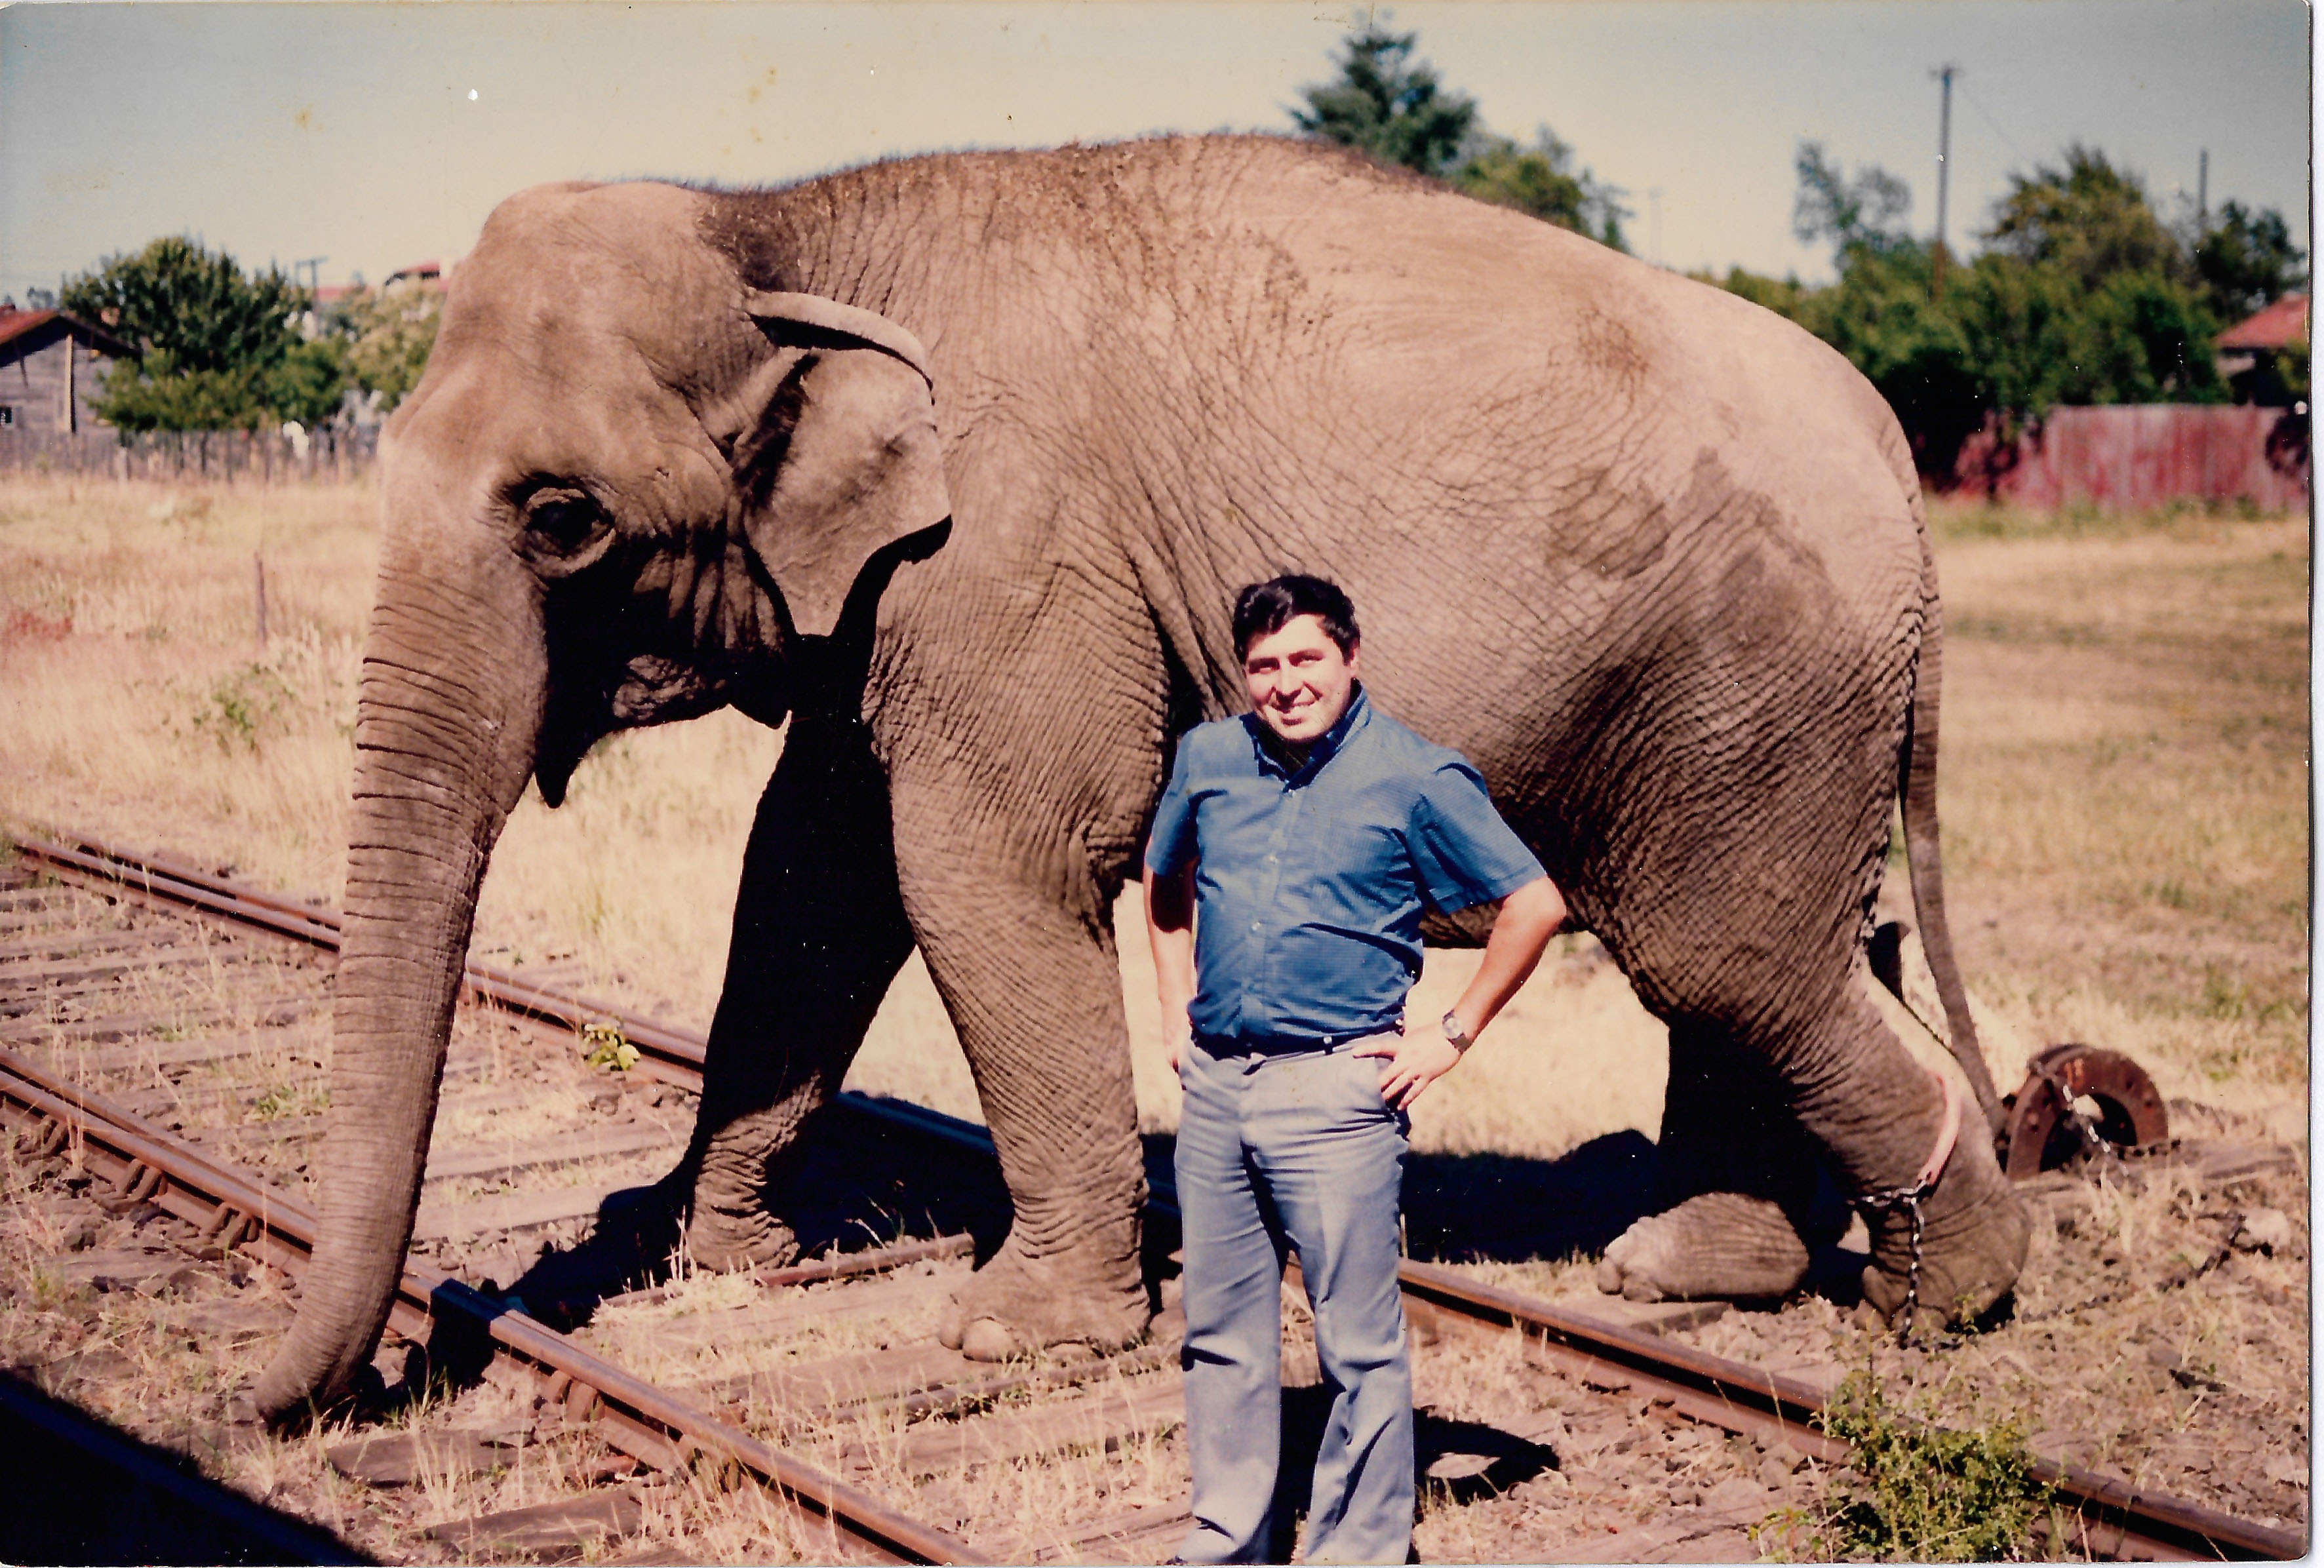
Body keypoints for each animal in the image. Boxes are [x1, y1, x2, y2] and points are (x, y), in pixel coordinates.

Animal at [259, 134, 2036, 1421]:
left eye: (562, 520)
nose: (286, 1397)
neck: (784, 222)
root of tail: (1892, 449)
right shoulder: (899, 592)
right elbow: (813, 875)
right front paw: (718, 1251)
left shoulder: (1013, 553)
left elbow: (983, 867)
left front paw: (1014, 1337)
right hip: (1737, 715)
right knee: (1755, 960)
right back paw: (1689, 1273)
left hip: (1753, 687)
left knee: (1730, 957)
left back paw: (1944, 1296)